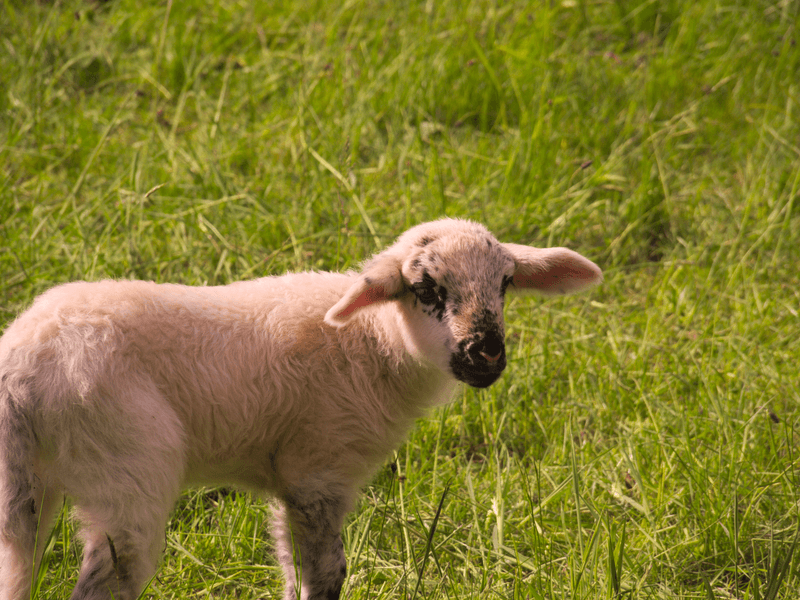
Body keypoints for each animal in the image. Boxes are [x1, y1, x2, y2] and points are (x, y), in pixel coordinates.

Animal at [0, 218, 602, 600]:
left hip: (27, 488)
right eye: (425, 287)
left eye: (505, 283)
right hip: (126, 469)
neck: (373, 342)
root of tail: (21, 367)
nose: (487, 354)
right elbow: (327, 577)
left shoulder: (288, 480)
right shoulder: (319, 471)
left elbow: (293, 572)